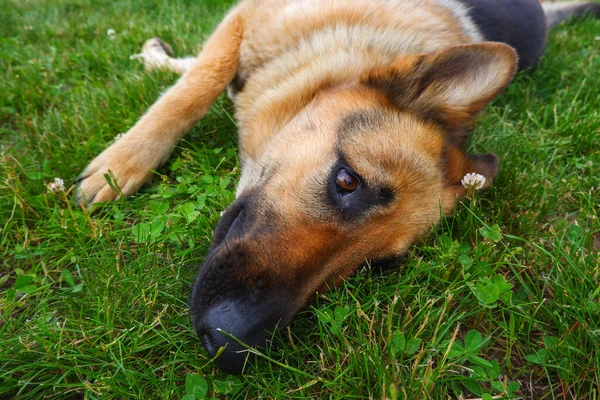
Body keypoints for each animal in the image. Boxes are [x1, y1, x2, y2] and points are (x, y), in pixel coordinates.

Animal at [75, 0, 600, 376]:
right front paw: (122, 165)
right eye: (347, 181)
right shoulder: (248, 17)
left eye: (376, 266)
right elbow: (198, 84)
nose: (230, 346)